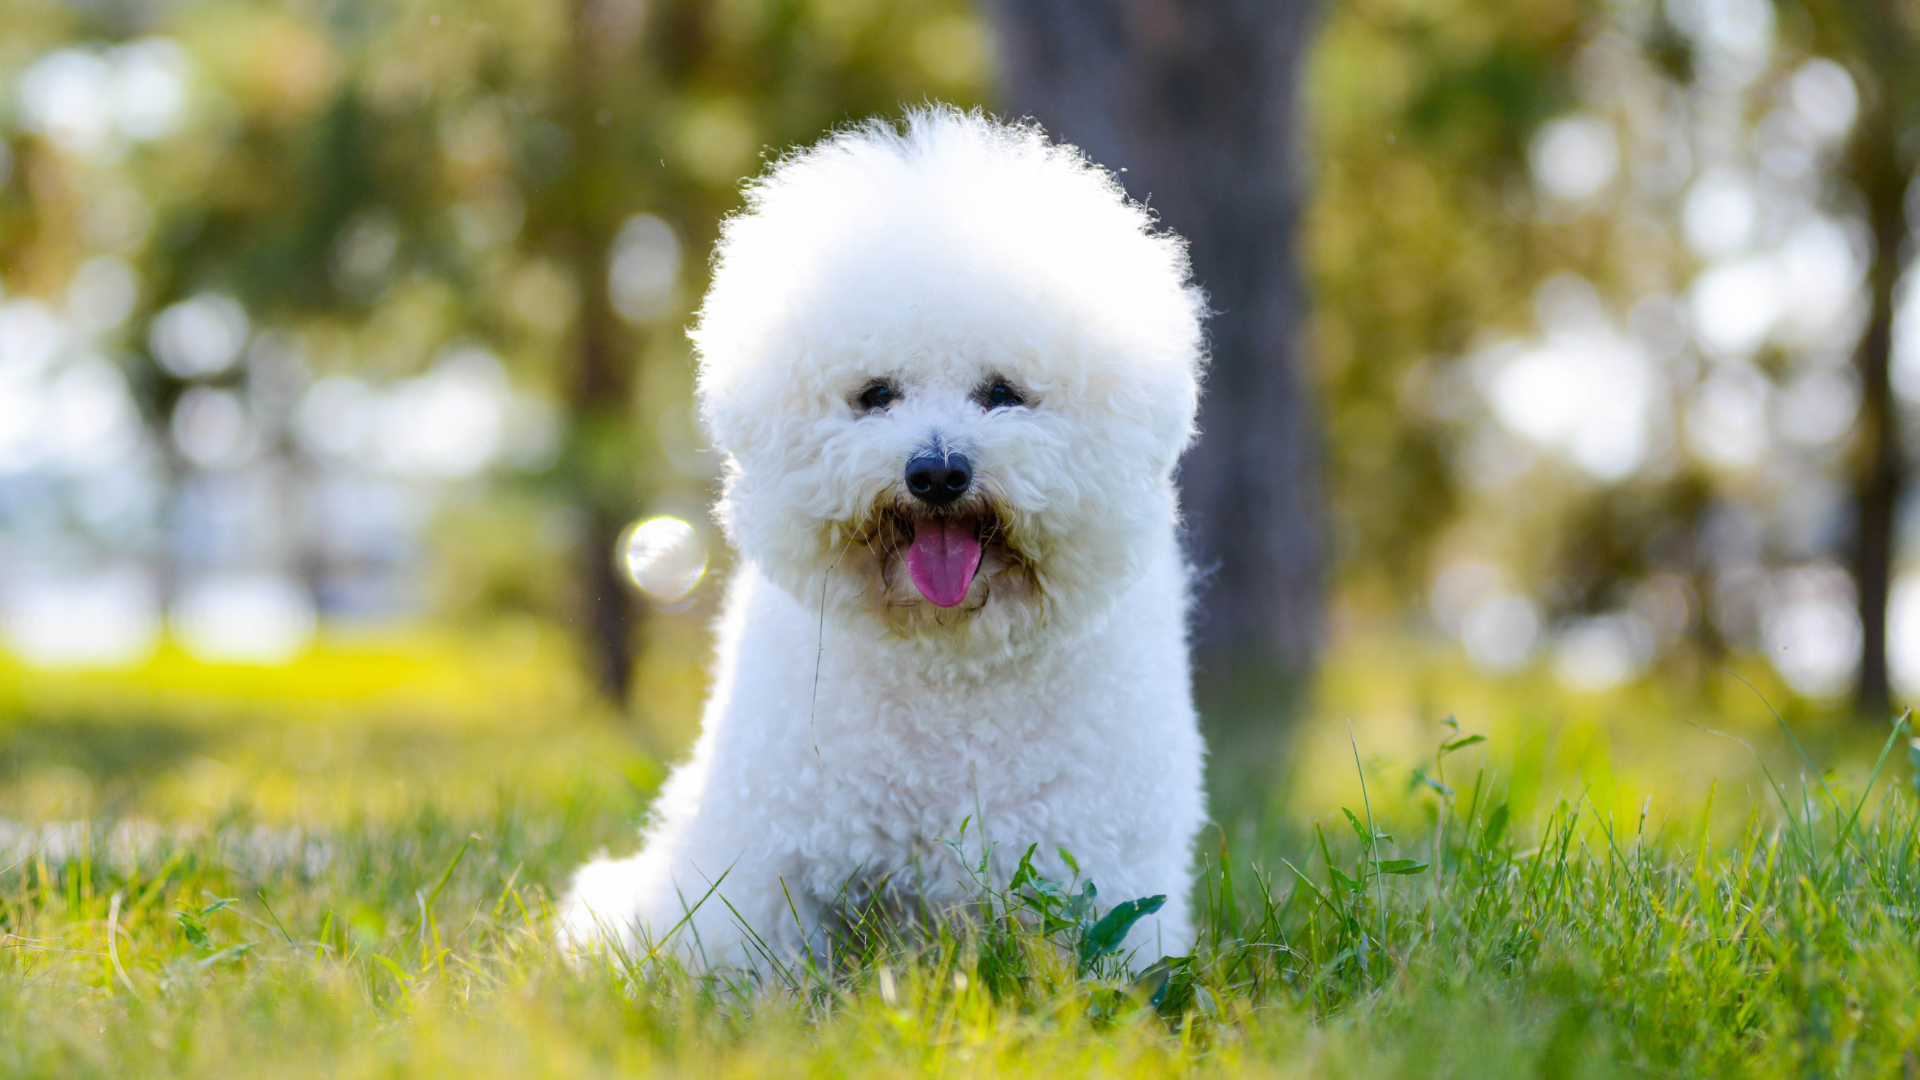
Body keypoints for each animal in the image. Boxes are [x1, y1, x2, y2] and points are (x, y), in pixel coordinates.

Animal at [560, 107, 1205, 968]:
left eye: (1003, 393)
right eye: (875, 396)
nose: (936, 473)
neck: (951, 667)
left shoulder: (1103, 869)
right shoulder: (769, 853)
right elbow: (751, 954)